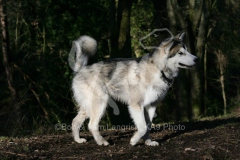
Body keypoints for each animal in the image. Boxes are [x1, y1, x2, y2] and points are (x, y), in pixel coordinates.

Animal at [69, 31, 197, 146]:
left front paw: (148, 142)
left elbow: (148, 126)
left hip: (88, 107)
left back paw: (78, 140)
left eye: (187, 51)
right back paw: (102, 142)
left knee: (75, 121)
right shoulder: (136, 105)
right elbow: (142, 127)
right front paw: (134, 141)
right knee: (92, 125)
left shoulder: (151, 105)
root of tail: (80, 69)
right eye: (181, 53)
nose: (196, 59)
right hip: (100, 103)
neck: (158, 69)